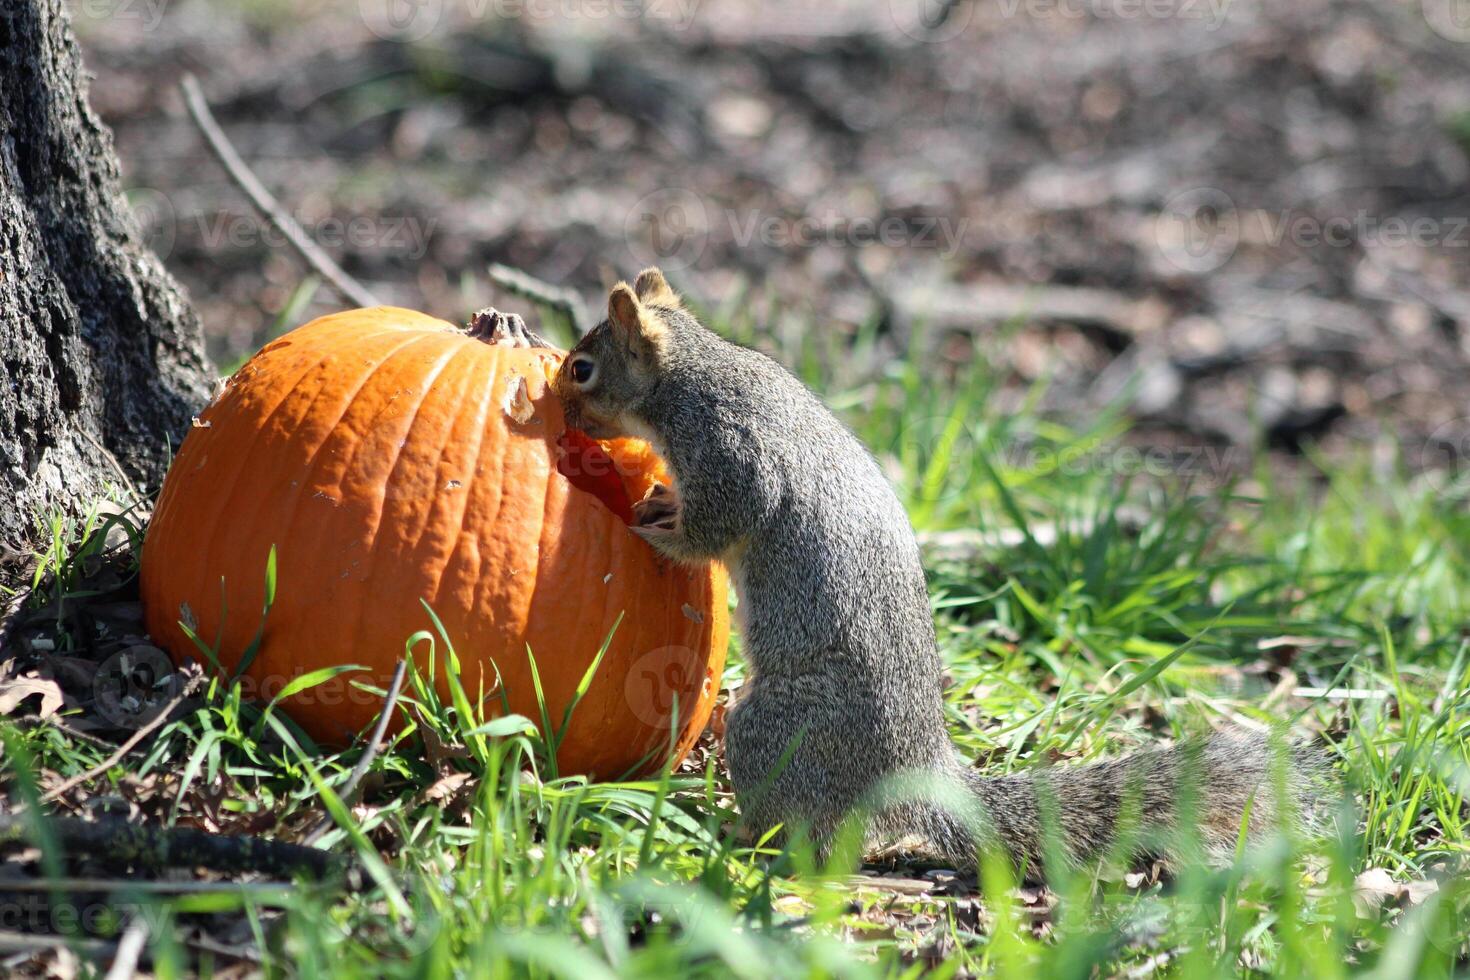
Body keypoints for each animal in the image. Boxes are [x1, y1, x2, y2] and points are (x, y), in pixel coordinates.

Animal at [549, 270, 1323, 881]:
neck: (693, 371)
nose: (559, 409)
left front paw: (660, 533)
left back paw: (739, 837)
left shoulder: (729, 449)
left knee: (815, 839)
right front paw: (659, 502)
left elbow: (720, 524)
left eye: (582, 368)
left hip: (775, 731)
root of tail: (917, 773)